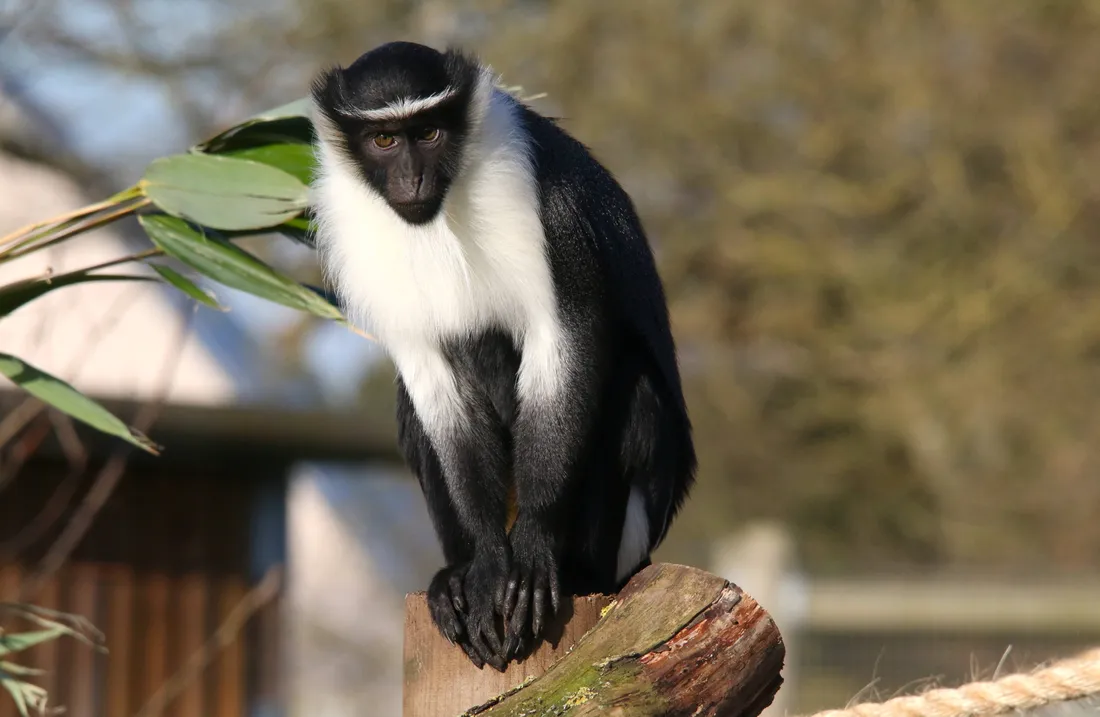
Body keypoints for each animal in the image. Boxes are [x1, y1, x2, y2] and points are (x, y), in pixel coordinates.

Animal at [308, 41, 696, 671]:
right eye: (384, 139)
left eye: (430, 131)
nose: (411, 177)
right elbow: (433, 386)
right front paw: (489, 562)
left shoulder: (549, 206)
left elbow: (565, 342)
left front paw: (533, 549)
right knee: (414, 406)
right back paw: (455, 576)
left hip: (630, 537)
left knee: (632, 385)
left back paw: (573, 571)